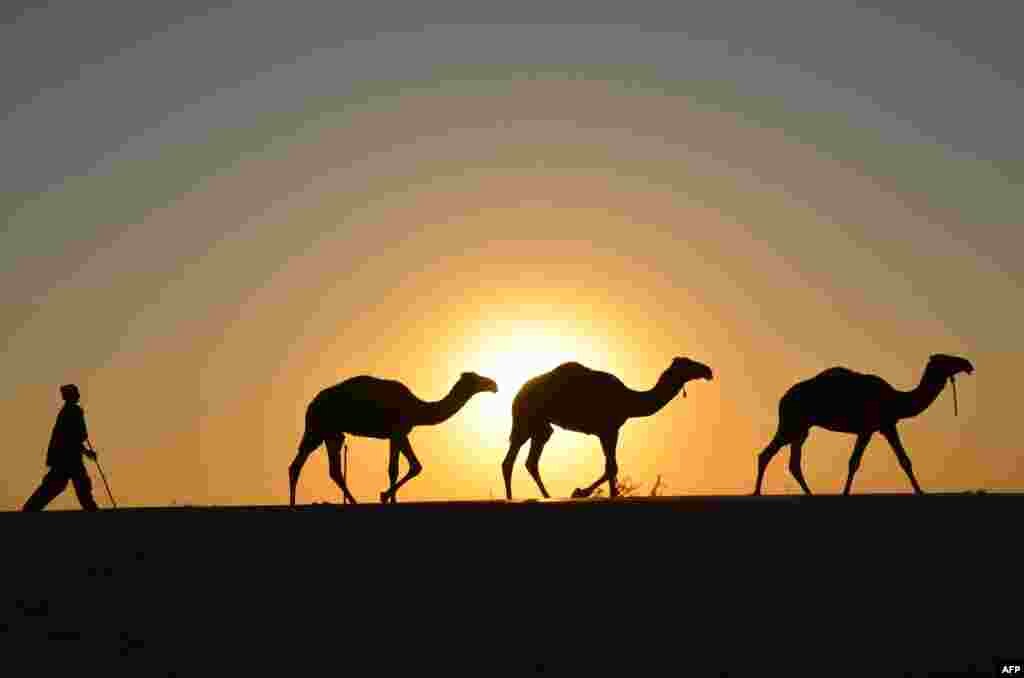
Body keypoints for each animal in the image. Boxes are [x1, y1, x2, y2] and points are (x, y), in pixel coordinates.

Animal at [286, 372, 497, 503]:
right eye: (475, 379)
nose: (493, 385)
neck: (417, 408)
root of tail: (311, 403)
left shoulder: (397, 434)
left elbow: (397, 468)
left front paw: (390, 498)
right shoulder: (398, 431)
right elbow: (410, 467)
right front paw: (385, 496)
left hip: (332, 433)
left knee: (330, 469)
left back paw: (352, 501)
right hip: (317, 427)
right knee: (298, 464)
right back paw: (294, 504)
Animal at [501, 358, 712, 501]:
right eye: (687, 364)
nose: (708, 370)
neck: (629, 400)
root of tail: (518, 393)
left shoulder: (609, 430)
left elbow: (611, 467)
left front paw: (584, 492)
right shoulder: (608, 429)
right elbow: (612, 467)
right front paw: (582, 492)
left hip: (541, 426)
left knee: (531, 460)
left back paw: (546, 495)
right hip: (525, 419)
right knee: (509, 460)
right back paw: (512, 498)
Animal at [757, 356, 970, 493]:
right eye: (946, 359)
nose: (968, 364)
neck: (897, 399)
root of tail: (783, 398)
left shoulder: (886, 426)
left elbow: (904, 460)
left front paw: (920, 491)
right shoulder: (868, 428)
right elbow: (854, 462)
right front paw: (844, 493)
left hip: (802, 428)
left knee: (793, 462)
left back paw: (809, 494)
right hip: (791, 422)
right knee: (767, 454)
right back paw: (757, 493)